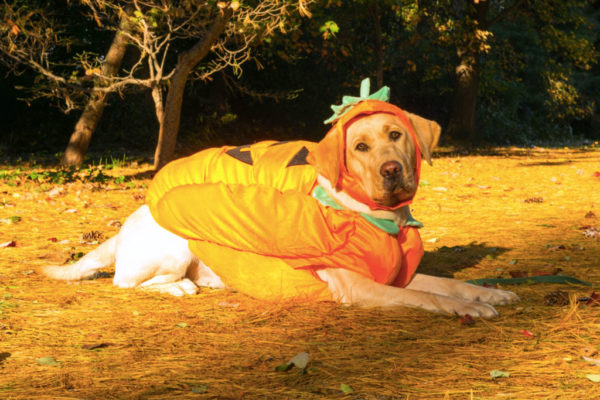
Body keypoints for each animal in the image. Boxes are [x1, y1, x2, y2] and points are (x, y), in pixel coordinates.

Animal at [44, 98, 516, 318]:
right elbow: (425, 296)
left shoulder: (397, 274)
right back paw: (179, 288)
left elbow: (448, 284)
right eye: (360, 147)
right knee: (126, 282)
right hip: (172, 247)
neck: (385, 220)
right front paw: (468, 309)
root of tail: (123, 228)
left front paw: (489, 292)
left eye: (396, 134)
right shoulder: (361, 287)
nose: (391, 170)